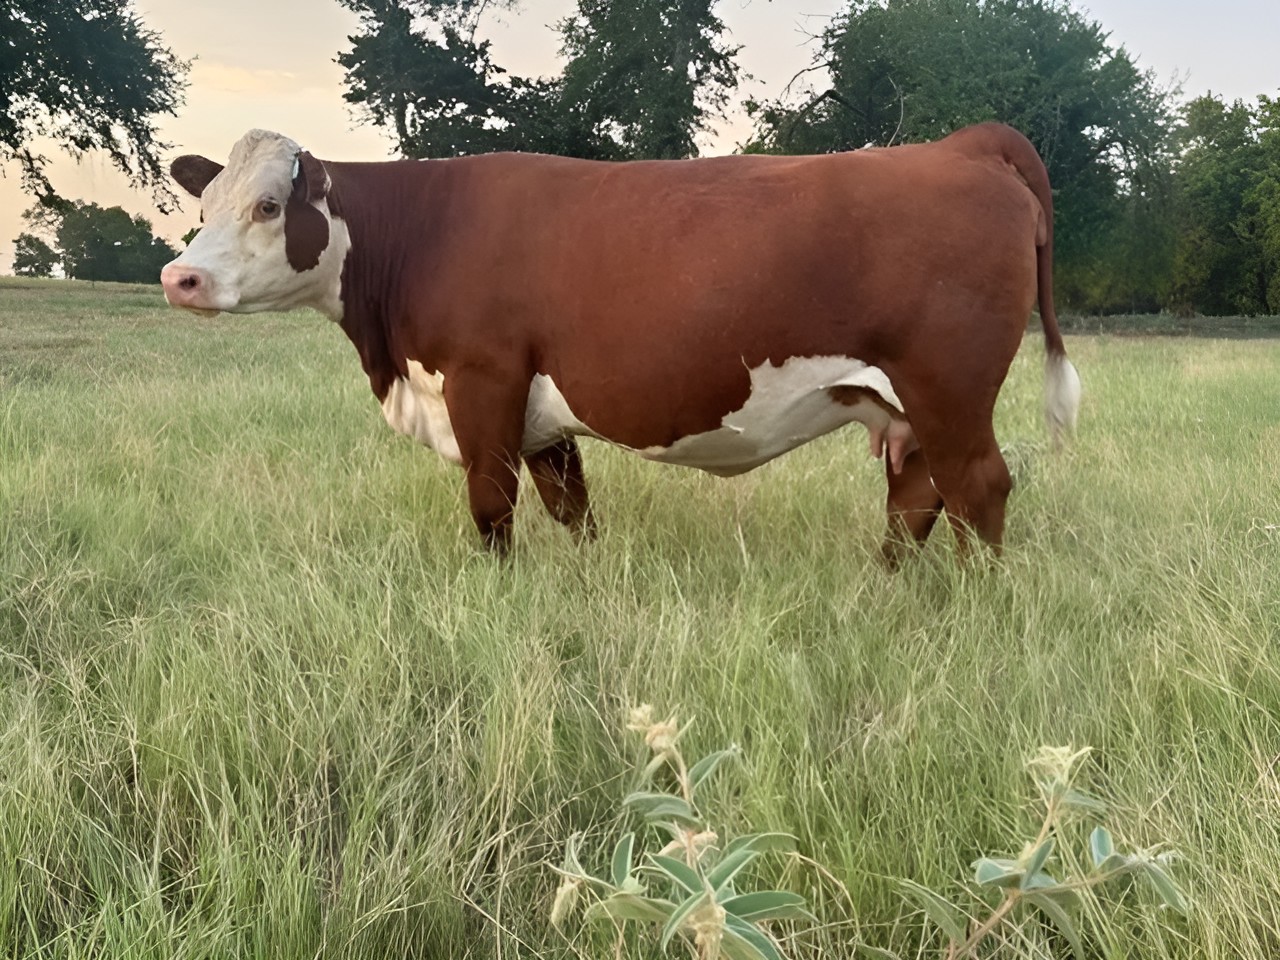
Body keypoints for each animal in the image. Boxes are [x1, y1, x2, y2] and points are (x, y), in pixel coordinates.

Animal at [160, 123, 1080, 564]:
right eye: (205, 203)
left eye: (269, 205)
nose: (181, 278)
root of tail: (961, 144)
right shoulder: (540, 415)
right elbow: (573, 510)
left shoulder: (483, 380)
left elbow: (491, 509)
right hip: (907, 402)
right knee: (918, 493)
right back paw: (885, 590)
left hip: (951, 385)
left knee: (978, 488)